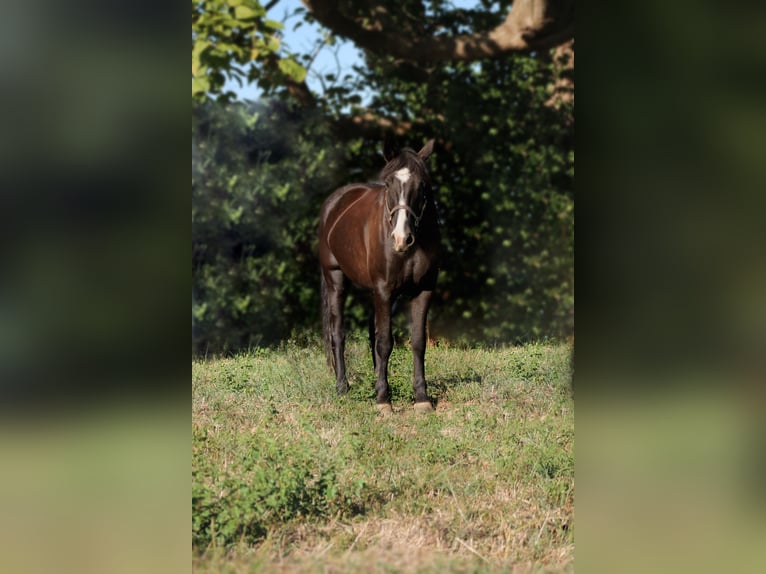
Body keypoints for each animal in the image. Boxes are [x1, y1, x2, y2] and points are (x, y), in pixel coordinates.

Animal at [318, 140, 440, 414]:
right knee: (337, 333)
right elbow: (385, 342)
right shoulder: (384, 289)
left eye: (422, 185)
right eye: (388, 184)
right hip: (335, 280)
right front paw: (384, 400)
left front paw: (421, 397)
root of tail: (334, 203)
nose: (401, 239)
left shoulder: (423, 290)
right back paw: (343, 387)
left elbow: (417, 342)